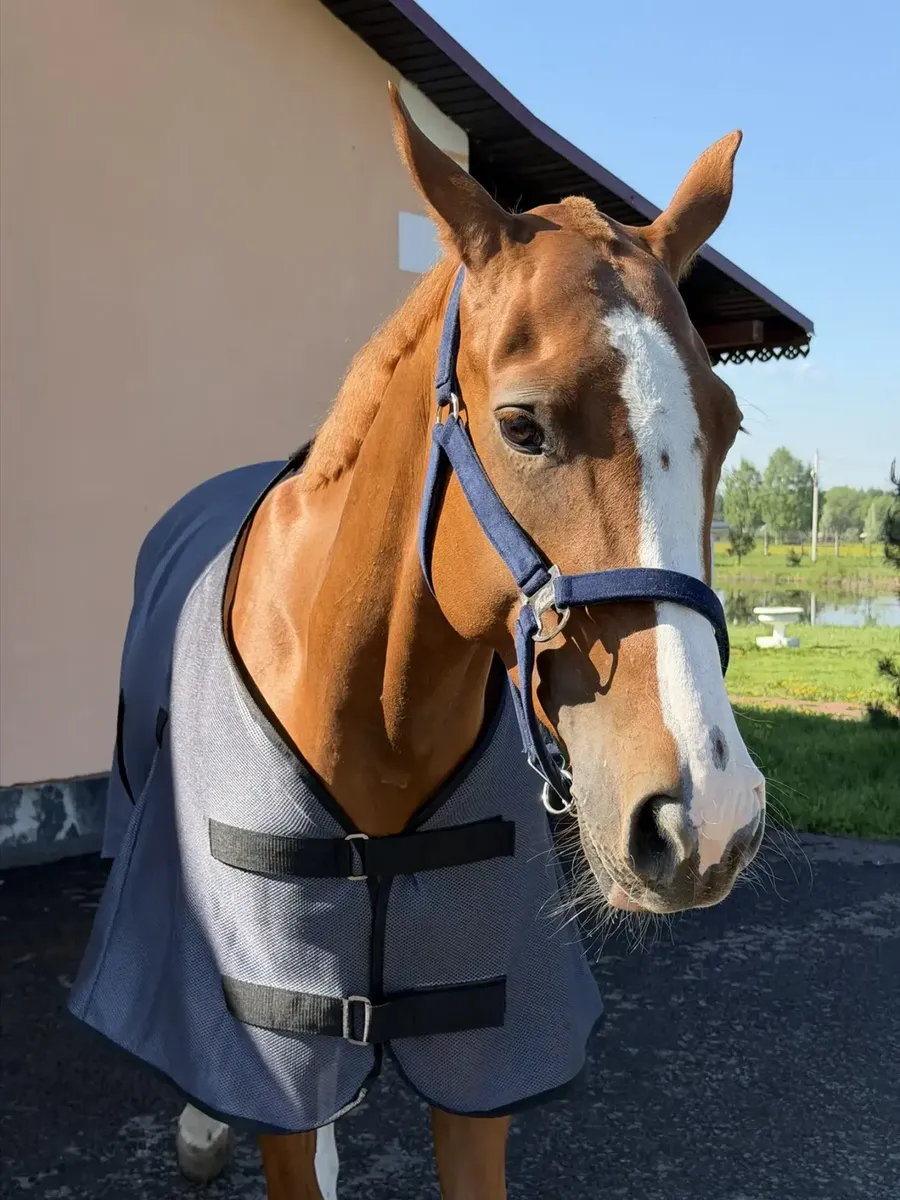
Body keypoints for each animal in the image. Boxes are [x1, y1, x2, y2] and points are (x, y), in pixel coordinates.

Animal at [69, 83, 765, 1199]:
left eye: (727, 421)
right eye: (521, 424)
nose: (707, 816)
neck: (375, 713)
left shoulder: (481, 1062)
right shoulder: (281, 1047)